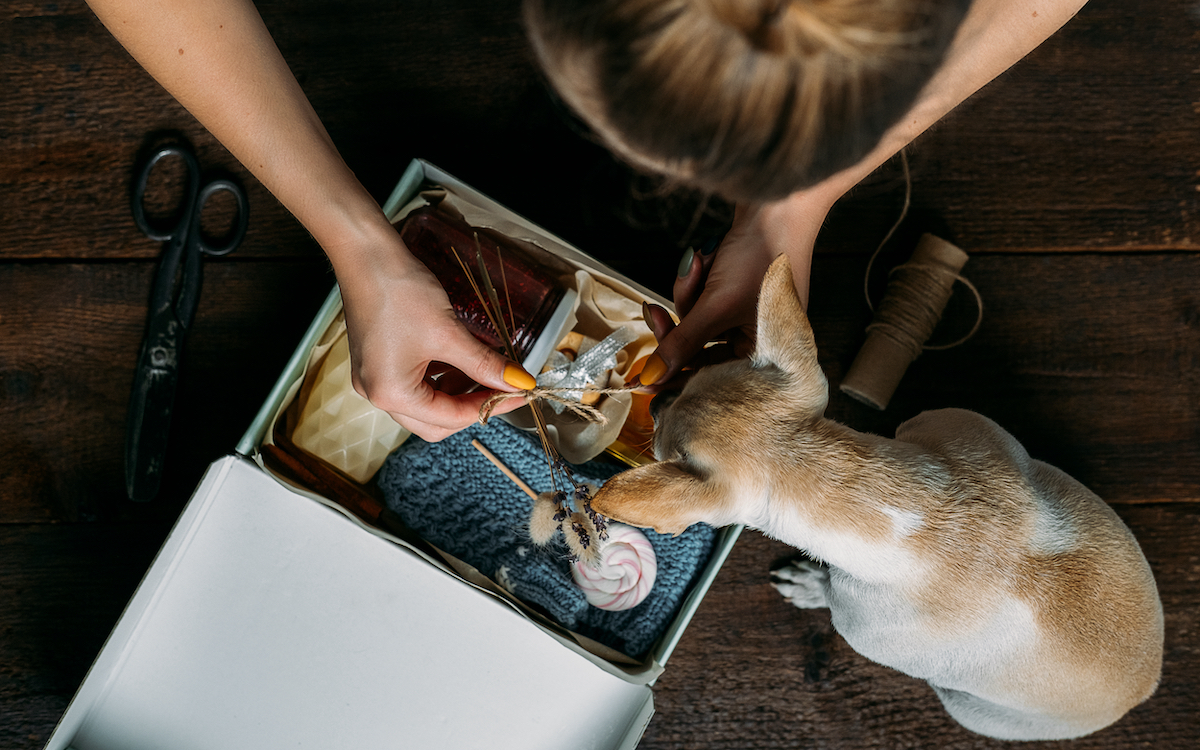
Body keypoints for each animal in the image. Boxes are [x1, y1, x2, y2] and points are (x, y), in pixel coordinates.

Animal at [590, 254, 1161, 739]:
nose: (656, 398)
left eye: (662, 437)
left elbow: (832, 589)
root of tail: (1144, 686)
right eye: (698, 373)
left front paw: (811, 584)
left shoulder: (861, 620)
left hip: (969, 705)